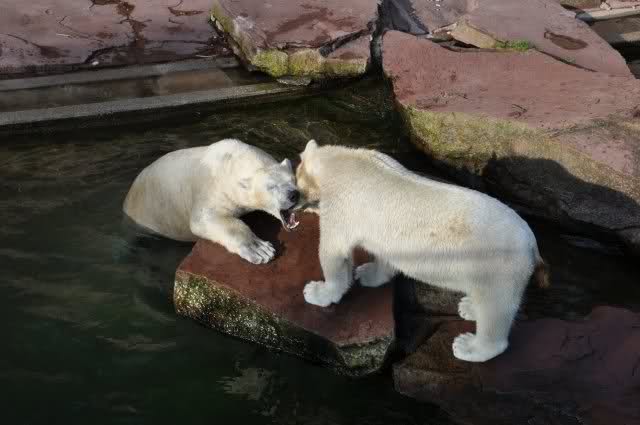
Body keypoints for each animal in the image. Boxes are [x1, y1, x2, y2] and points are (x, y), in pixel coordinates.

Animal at [123, 139, 300, 264]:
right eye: (271, 186)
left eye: (293, 179)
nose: (294, 195)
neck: (231, 162)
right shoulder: (213, 189)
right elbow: (203, 220)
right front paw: (260, 250)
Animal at [295, 140, 549, 362]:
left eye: (294, 181)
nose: (292, 202)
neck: (341, 161)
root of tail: (532, 245)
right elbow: (384, 256)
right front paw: (367, 273)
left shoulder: (342, 203)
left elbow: (334, 251)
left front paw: (317, 292)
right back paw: (468, 306)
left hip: (496, 266)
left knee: (494, 308)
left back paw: (469, 346)